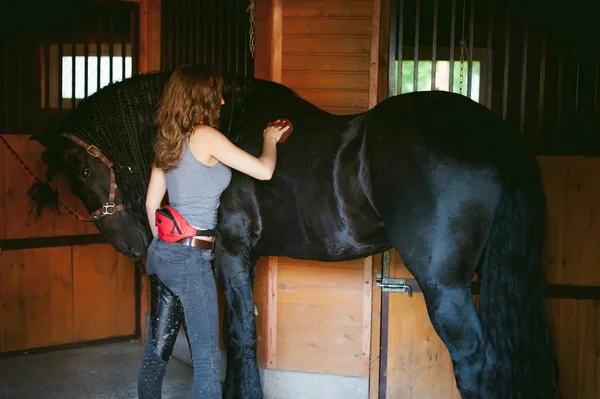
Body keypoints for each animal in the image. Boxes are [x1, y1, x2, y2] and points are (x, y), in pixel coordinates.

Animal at [30, 69, 560, 399]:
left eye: (82, 168)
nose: (132, 245)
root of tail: (494, 132)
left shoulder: (231, 254)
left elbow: (239, 336)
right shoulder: (241, 260)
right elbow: (237, 335)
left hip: (443, 286)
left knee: (475, 363)